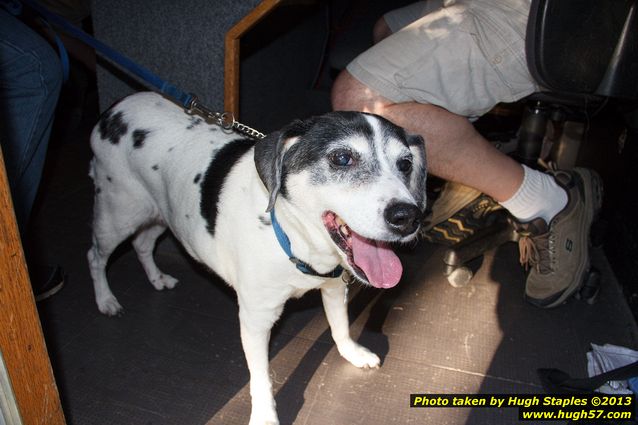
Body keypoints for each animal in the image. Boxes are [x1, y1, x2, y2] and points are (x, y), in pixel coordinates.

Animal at [85, 93, 424, 424]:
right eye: (342, 158)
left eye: (406, 163)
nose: (407, 217)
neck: (291, 236)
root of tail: (116, 107)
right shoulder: (256, 320)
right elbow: (261, 378)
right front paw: (264, 416)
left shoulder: (333, 287)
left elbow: (339, 327)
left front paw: (352, 352)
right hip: (119, 214)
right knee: (95, 256)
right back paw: (106, 300)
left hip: (160, 215)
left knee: (142, 244)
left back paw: (157, 278)